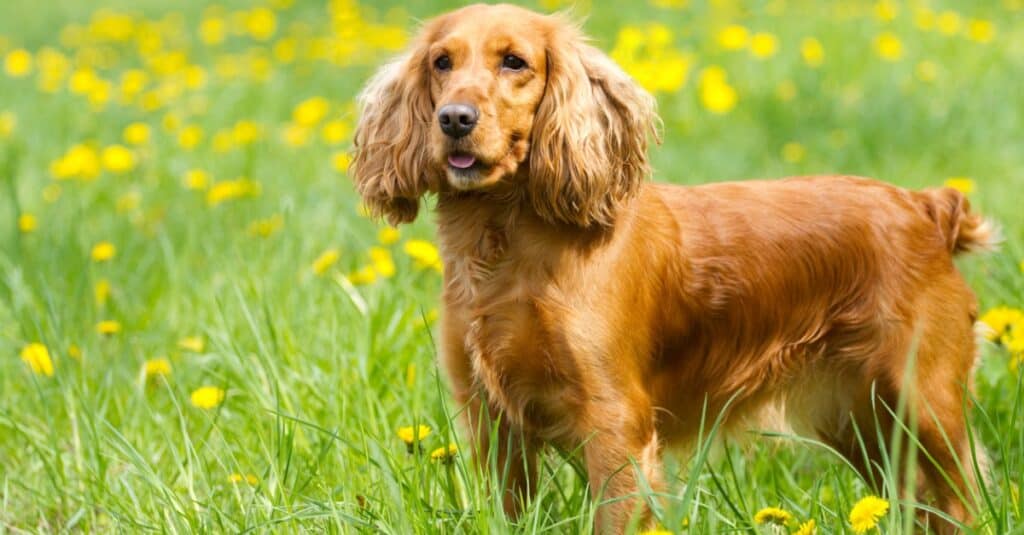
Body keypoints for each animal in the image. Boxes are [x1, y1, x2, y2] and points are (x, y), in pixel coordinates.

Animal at [352, 3, 991, 528]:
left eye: (515, 62)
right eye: (441, 62)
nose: (455, 118)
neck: (508, 245)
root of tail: (926, 206)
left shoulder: (616, 427)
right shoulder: (491, 421)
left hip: (924, 403)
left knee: (962, 498)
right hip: (861, 421)